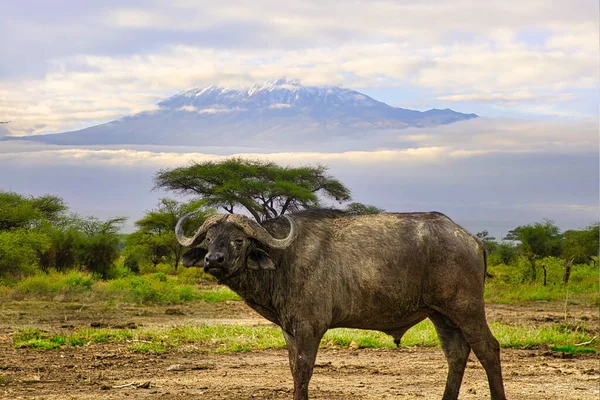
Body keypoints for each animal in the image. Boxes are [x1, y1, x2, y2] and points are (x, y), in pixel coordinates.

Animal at [176, 211, 504, 398]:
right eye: (209, 239)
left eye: (239, 240)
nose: (213, 260)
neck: (284, 260)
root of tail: (470, 238)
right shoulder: (289, 331)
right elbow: (294, 370)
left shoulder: (309, 329)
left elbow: (304, 372)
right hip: (442, 316)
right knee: (457, 355)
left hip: (467, 309)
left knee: (488, 349)